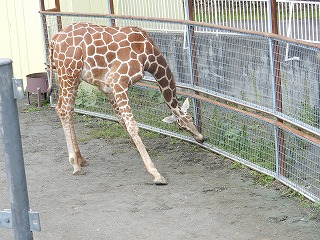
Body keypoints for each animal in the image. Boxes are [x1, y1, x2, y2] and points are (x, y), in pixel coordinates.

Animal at [48, 22, 205, 185]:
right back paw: (75, 164)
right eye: (181, 127)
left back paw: (80, 158)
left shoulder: (108, 87)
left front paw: (138, 148)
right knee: (63, 110)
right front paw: (155, 173)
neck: (149, 55)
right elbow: (132, 125)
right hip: (68, 73)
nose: (200, 138)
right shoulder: (118, 81)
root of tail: (54, 40)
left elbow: (122, 120)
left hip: (73, 77)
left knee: (68, 110)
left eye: (192, 118)